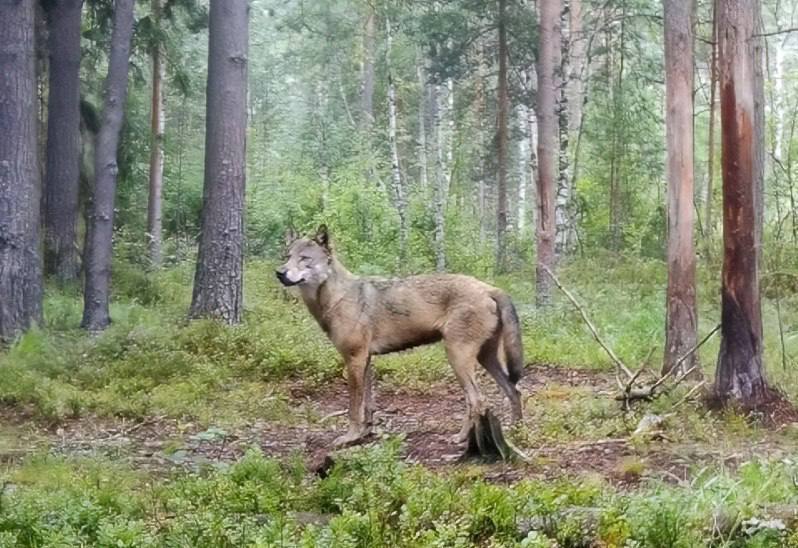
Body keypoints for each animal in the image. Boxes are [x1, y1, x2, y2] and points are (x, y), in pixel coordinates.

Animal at [276, 225, 524, 448]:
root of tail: (490, 288)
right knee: (514, 391)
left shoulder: (354, 359)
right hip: (485, 358)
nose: (279, 272)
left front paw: (349, 437)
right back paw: (516, 433)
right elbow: (368, 405)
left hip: (457, 358)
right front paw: (365, 434)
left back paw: (462, 438)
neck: (338, 298)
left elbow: (354, 407)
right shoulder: (365, 360)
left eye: (304, 258)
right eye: (287, 257)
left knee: (477, 400)